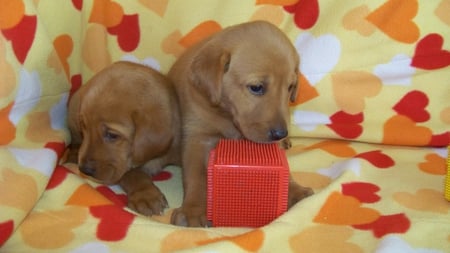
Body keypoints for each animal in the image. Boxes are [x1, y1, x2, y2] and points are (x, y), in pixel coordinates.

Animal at [168, 21, 312, 227]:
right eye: (256, 87)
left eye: (290, 87)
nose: (280, 134)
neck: (227, 116)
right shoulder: (197, 137)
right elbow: (196, 176)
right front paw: (192, 211)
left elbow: (283, 167)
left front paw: (295, 190)